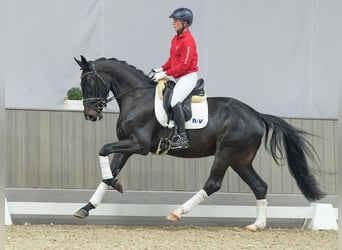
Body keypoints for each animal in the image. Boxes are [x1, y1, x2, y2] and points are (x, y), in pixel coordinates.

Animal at [73, 55, 324, 231]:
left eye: (89, 83)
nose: (90, 115)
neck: (137, 97)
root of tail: (256, 115)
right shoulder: (127, 144)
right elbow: (109, 171)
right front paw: (87, 207)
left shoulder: (139, 145)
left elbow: (103, 150)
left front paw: (115, 184)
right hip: (240, 160)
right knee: (259, 186)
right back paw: (256, 225)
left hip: (226, 153)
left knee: (213, 184)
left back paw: (177, 212)